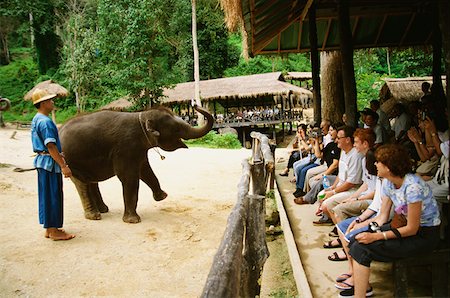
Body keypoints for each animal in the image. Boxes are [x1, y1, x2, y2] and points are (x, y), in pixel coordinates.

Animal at [59, 105, 214, 224]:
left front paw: (162, 196)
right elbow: (129, 178)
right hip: (69, 162)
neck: (142, 115)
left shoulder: (139, 150)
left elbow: (146, 171)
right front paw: (133, 221)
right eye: (176, 129)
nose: (195, 105)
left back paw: (103, 210)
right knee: (82, 183)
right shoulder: (125, 148)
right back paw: (94, 216)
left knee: (91, 182)